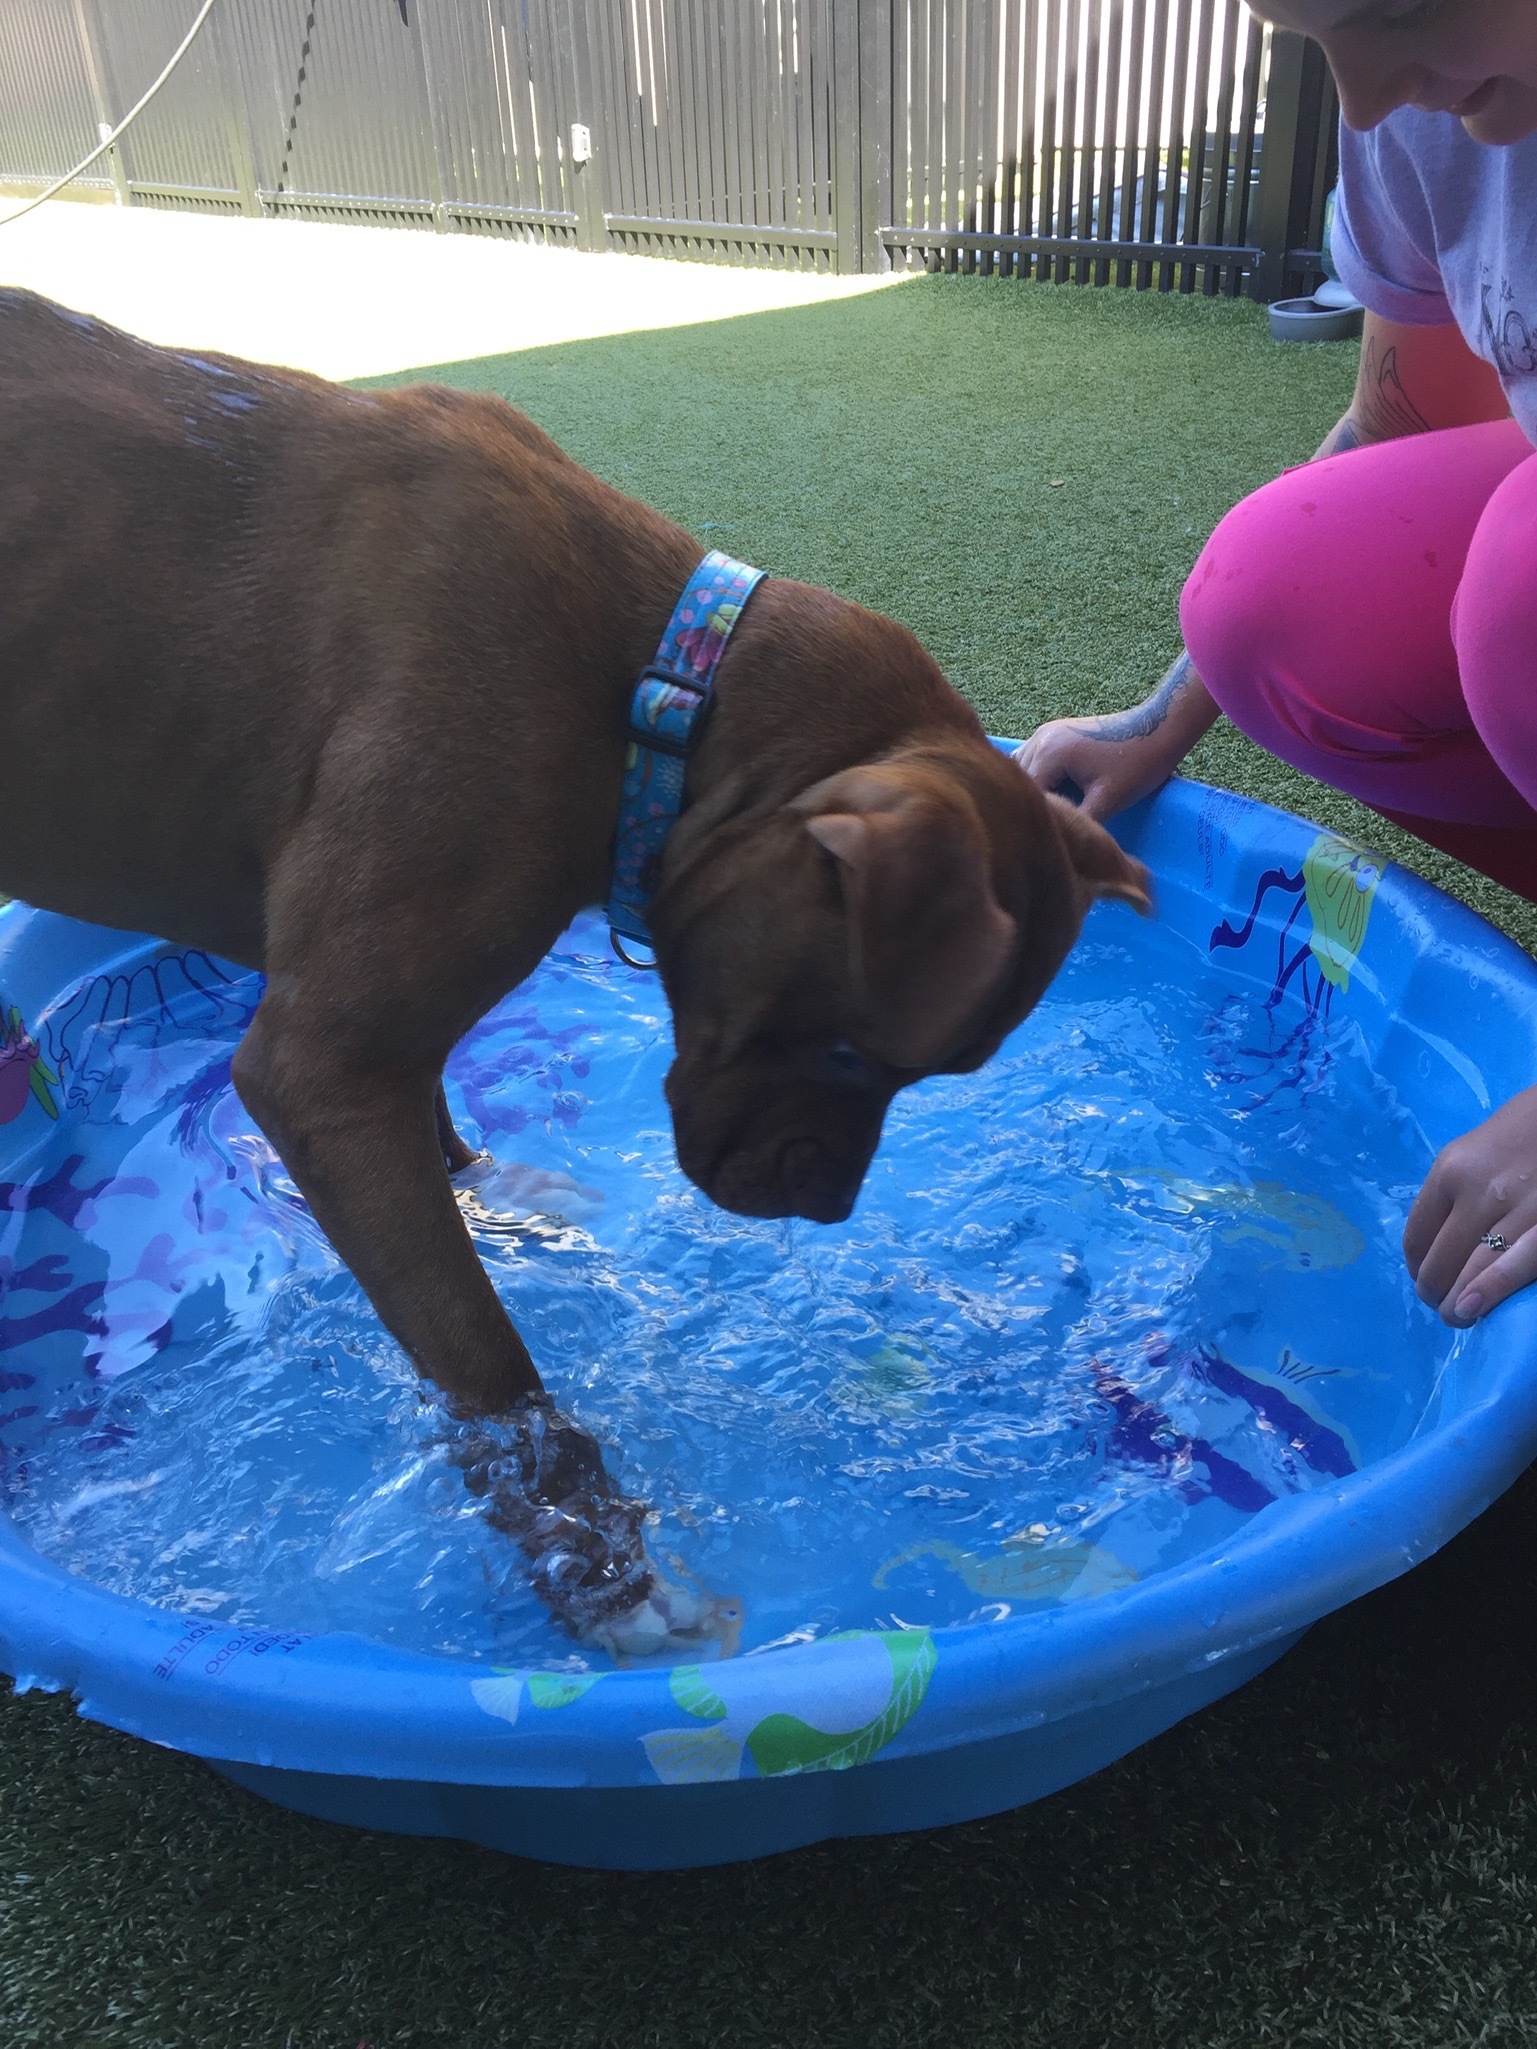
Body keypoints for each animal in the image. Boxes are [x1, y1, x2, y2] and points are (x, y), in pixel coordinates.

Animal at [0, 288, 1147, 1655]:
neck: (656, 684)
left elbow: (438, 1125)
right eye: (853, 1050)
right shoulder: (325, 1071)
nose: (826, 1212)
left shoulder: (369, 1045)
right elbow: (493, 1372)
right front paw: (605, 1566)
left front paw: (499, 1191)